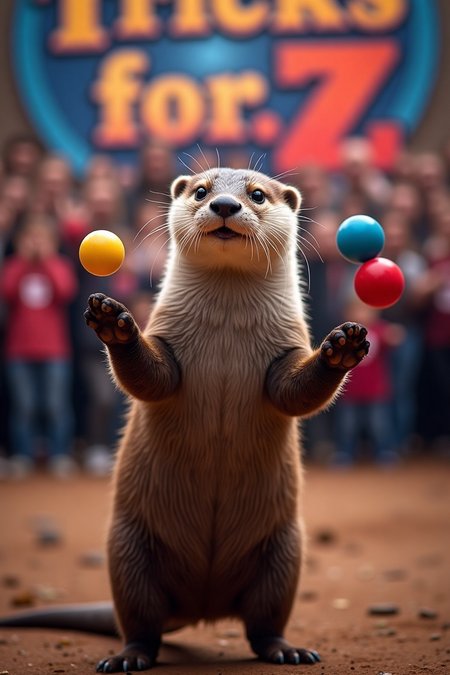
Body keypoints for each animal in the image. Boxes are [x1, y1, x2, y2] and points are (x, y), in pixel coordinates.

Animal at [0, 168, 369, 672]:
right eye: (201, 191)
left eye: (257, 194)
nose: (225, 206)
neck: (226, 329)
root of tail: (202, 607)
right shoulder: (168, 344)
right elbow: (150, 379)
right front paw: (114, 323)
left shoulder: (287, 350)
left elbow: (296, 393)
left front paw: (342, 348)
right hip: (127, 549)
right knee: (141, 622)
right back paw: (129, 656)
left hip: (285, 550)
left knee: (264, 622)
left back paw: (287, 649)